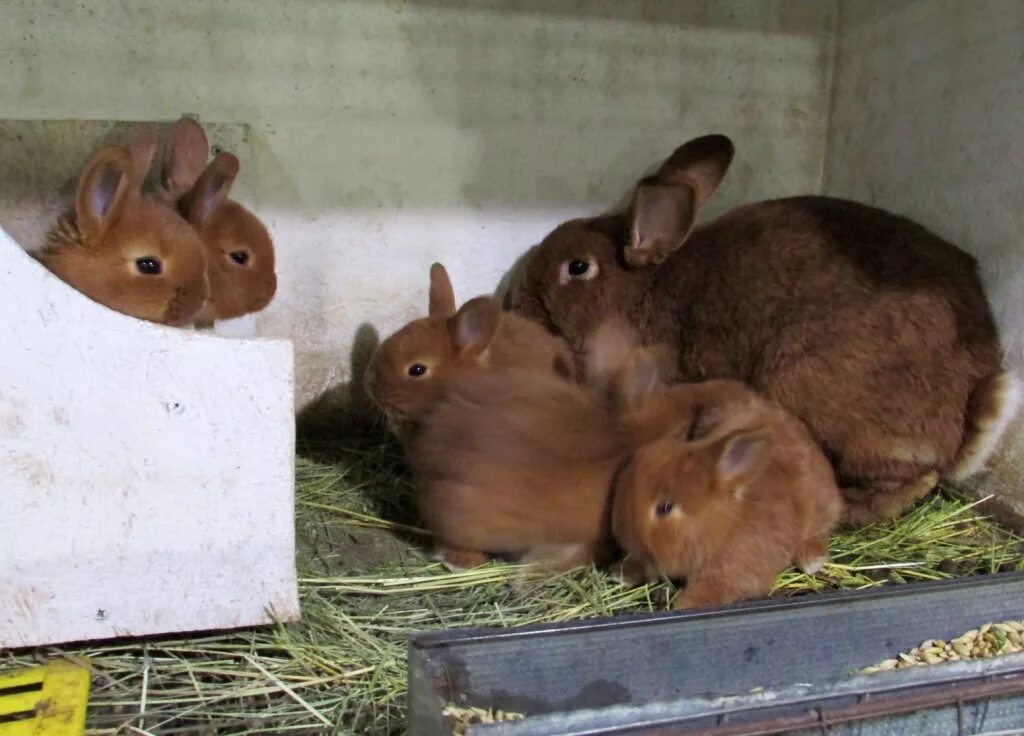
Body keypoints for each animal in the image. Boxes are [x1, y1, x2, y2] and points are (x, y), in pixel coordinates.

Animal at [507, 132, 1019, 524]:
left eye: (577, 267)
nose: (515, 300)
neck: (640, 291)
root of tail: (960, 428)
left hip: (805, 382)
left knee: (911, 480)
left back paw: (851, 507)